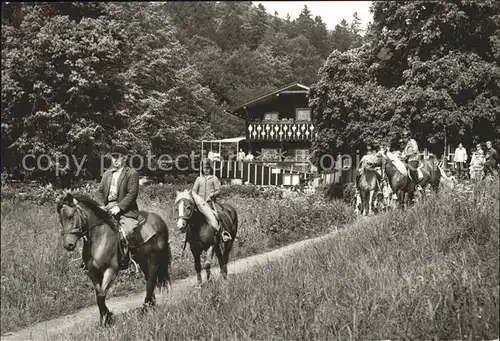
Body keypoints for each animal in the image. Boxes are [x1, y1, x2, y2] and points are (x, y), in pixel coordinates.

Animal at [57, 190, 172, 326]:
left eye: (70, 216)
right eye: (60, 220)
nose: (68, 245)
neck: (99, 237)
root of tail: (160, 220)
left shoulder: (111, 270)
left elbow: (101, 295)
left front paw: (107, 319)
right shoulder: (93, 272)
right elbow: (98, 295)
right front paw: (105, 318)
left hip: (154, 259)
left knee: (151, 282)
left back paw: (145, 309)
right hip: (144, 261)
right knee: (149, 280)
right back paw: (150, 306)